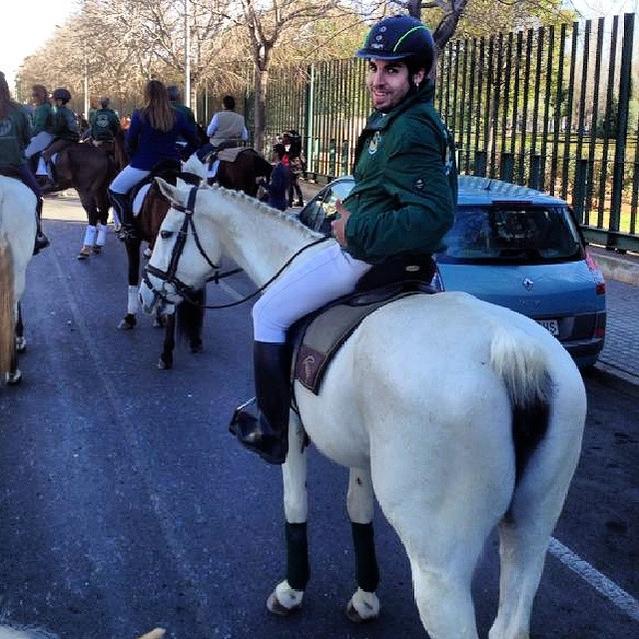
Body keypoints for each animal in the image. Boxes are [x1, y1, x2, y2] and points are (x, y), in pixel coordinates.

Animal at [140, 181, 587, 639]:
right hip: (532, 530)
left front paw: (292, 591)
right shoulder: (361, 450)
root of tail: (511, 353)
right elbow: (358, 510)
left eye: (167, 233)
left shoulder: (292, 429)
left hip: (439, 568)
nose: (148, 293)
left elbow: (295, 504)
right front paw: (365, 597)